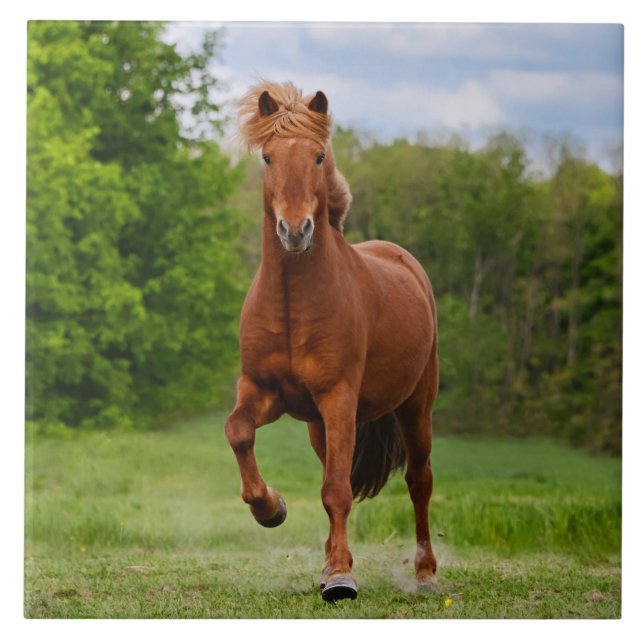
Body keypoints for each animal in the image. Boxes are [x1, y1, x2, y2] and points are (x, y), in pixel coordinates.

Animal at [225, 82, 439, 603]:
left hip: (416, 406)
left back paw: (424, 574)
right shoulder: (262, 392)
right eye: (267, 157)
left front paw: (342, 578)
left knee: (419, 481)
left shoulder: (339, 399)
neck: (292, 305)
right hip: (318, 427)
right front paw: (271, 508)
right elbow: (238, 432)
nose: (295, 230)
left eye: (318, 157)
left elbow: (337, 490)